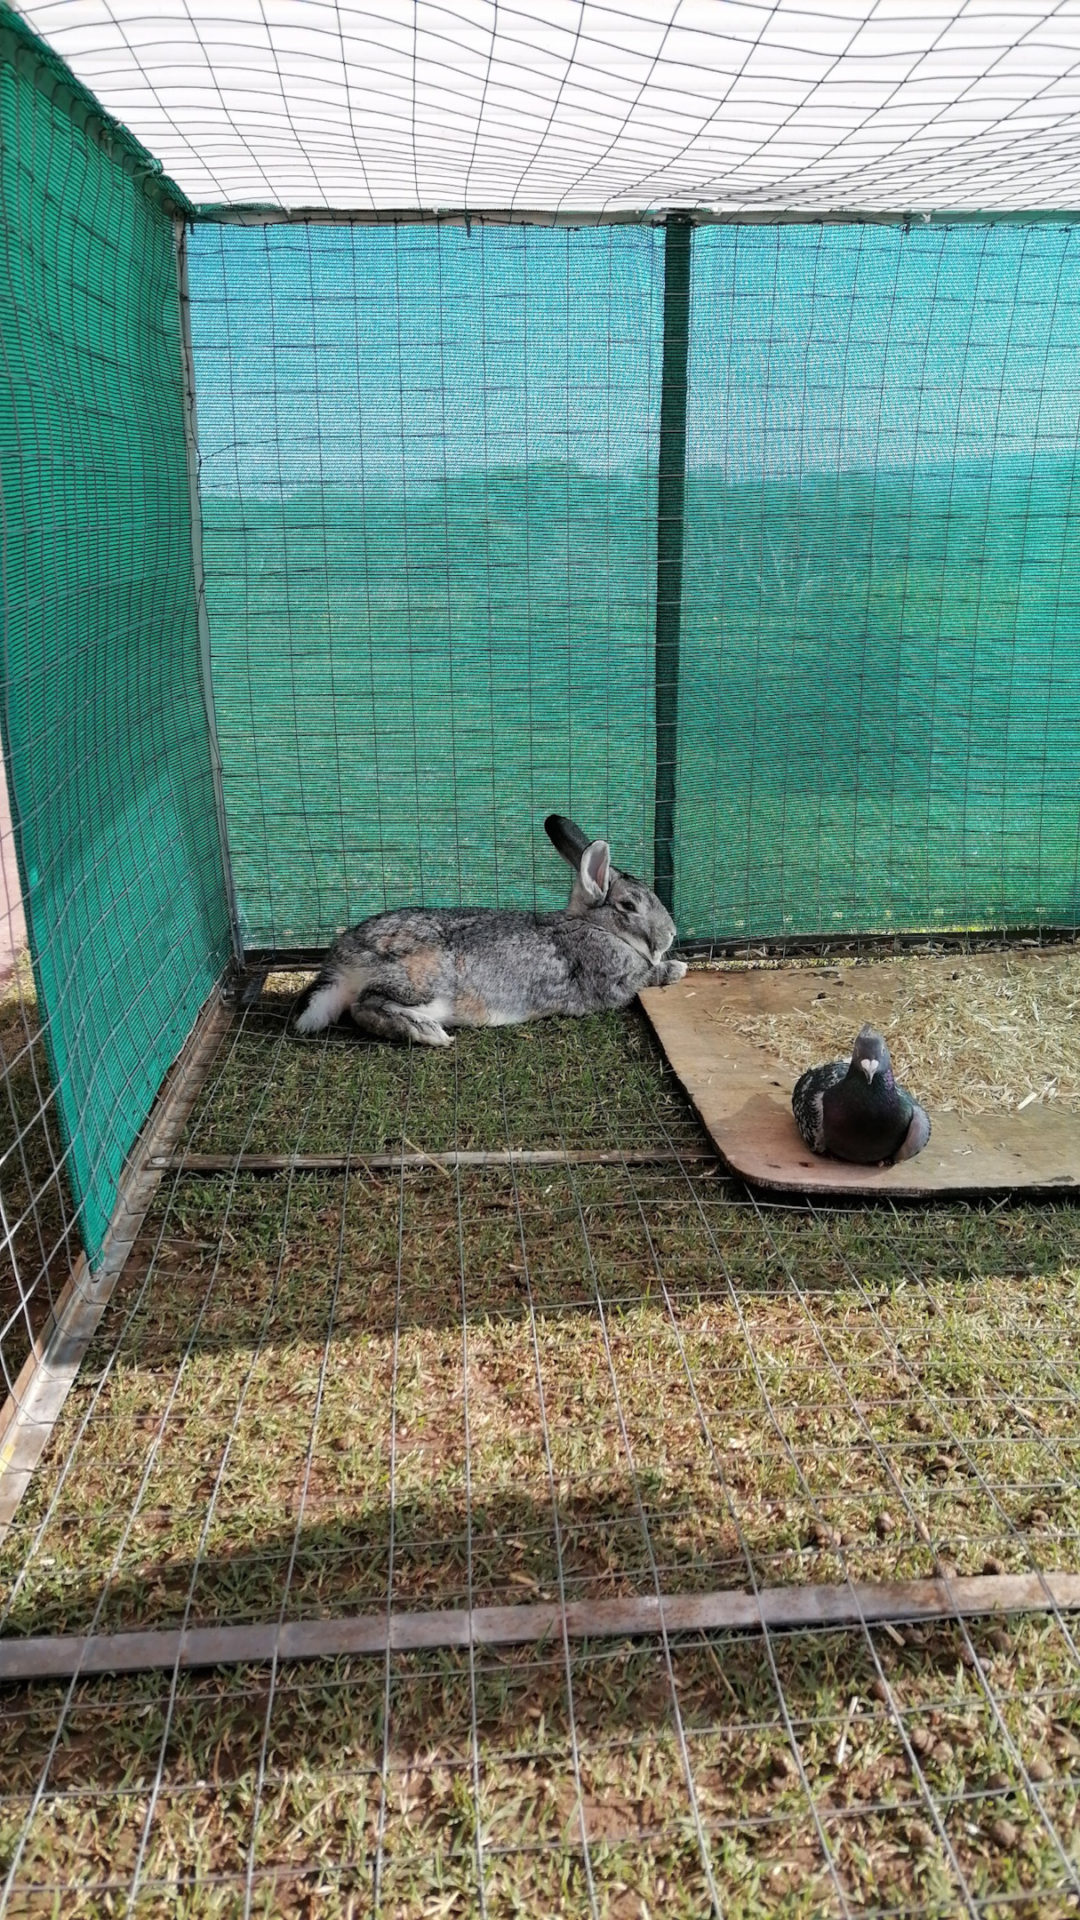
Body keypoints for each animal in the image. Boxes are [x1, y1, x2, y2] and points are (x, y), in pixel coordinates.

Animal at [292, 814, 680, 1052]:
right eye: (629, 905)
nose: (672, 935)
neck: (593, 926)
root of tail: (343, 962)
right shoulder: (616, 981)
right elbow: (646, 977)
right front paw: (676, 969)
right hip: (426, 983)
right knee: (364, 1005)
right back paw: (426, 1033)